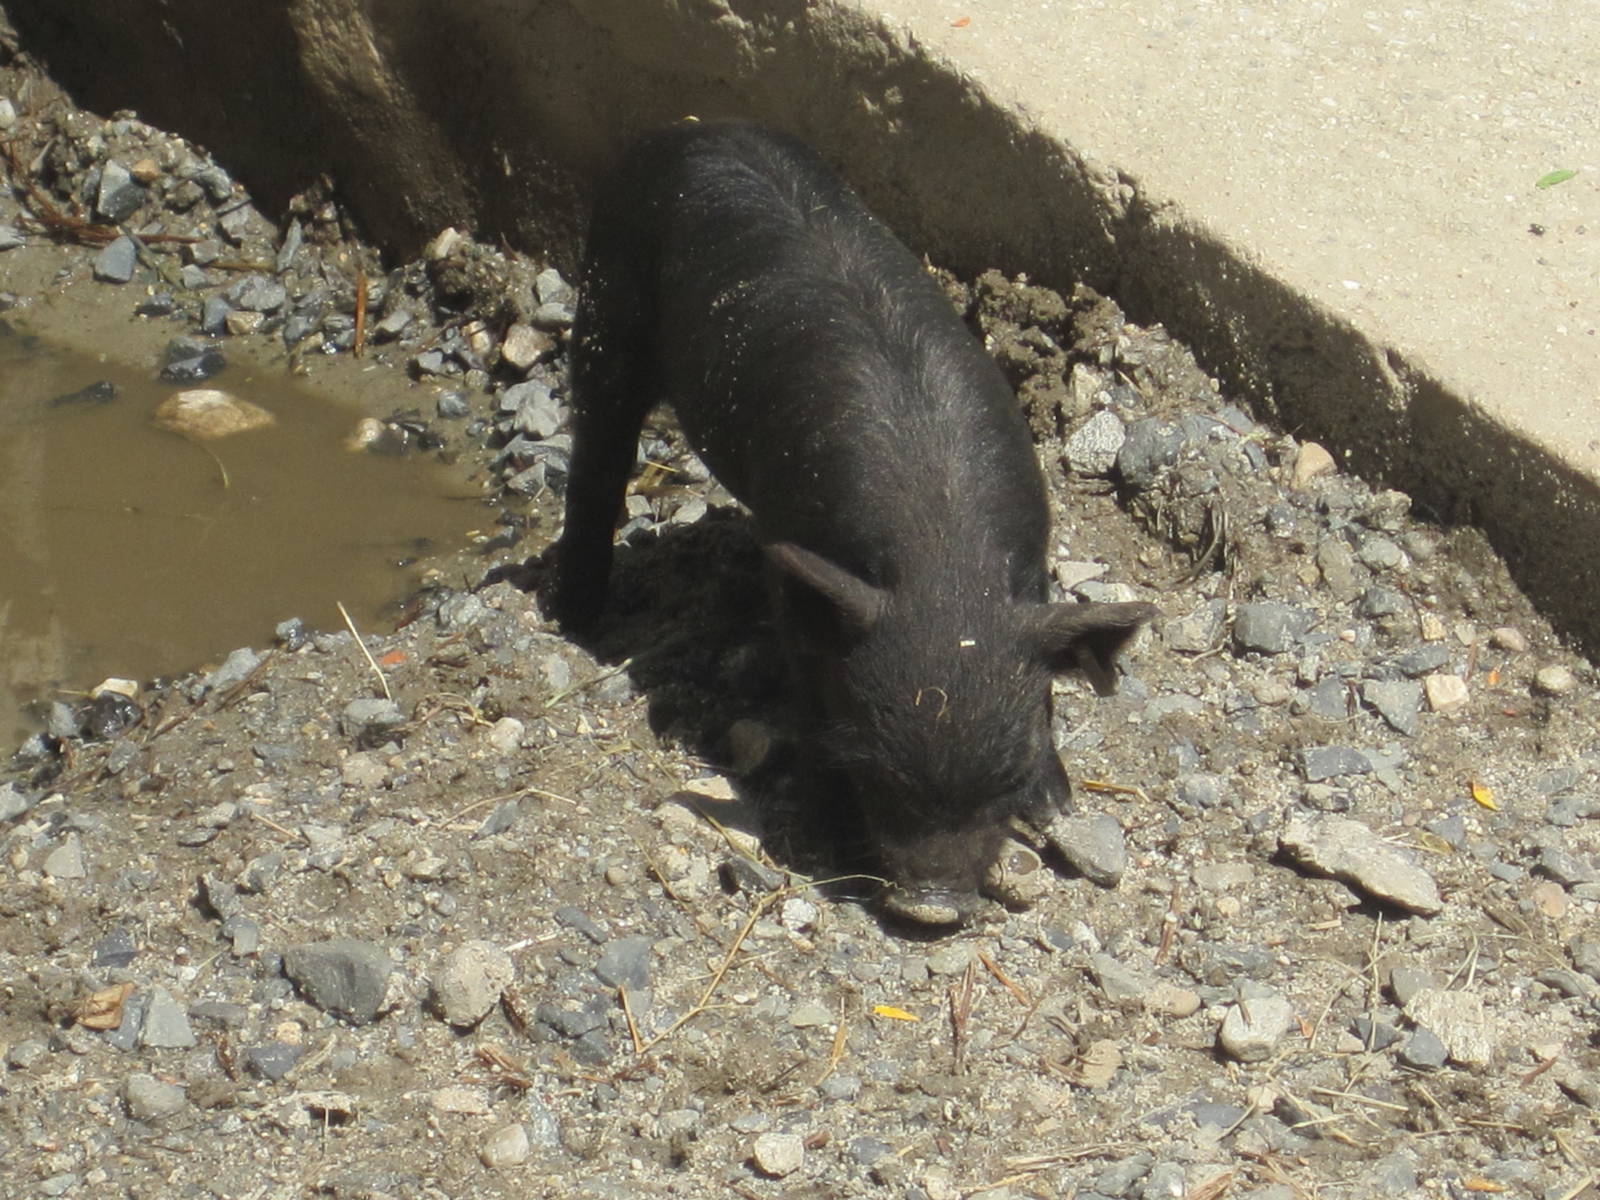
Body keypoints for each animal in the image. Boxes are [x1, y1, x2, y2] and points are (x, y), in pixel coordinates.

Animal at [551, 121, 1155, 924]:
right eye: (872, 762)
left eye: (1007, 771)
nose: (931, 906)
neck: (942, 559)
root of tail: (689, 129)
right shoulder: (797, 572)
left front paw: (1057, 808)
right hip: (607, 298)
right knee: (596, 450)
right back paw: (578, 616)